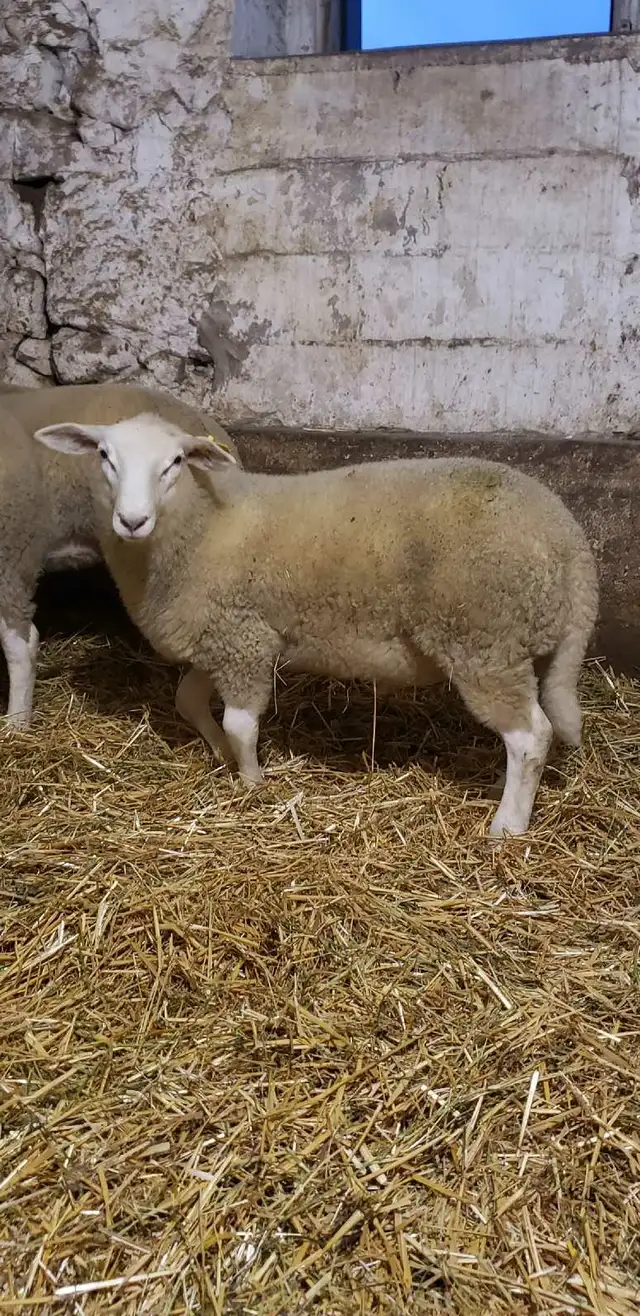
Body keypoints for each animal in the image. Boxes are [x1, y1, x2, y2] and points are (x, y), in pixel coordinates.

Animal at [0, 384, 240, 738]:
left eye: (174, 462)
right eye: (104, 456)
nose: (131, 521)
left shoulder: (12, 550)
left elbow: (21, 645)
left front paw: (18, 725)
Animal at [34, 413, 599, 837]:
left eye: (173, 463)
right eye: (104, 455)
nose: (131, 521)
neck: (200, 525)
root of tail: (569, 537)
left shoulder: (244, 640)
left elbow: (241, 724)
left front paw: (252, 781)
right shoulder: (223, 638)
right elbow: (187, 700)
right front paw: (218, 754)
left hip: (485, 641)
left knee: (530, 737)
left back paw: (508, 825)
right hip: (509, 642)